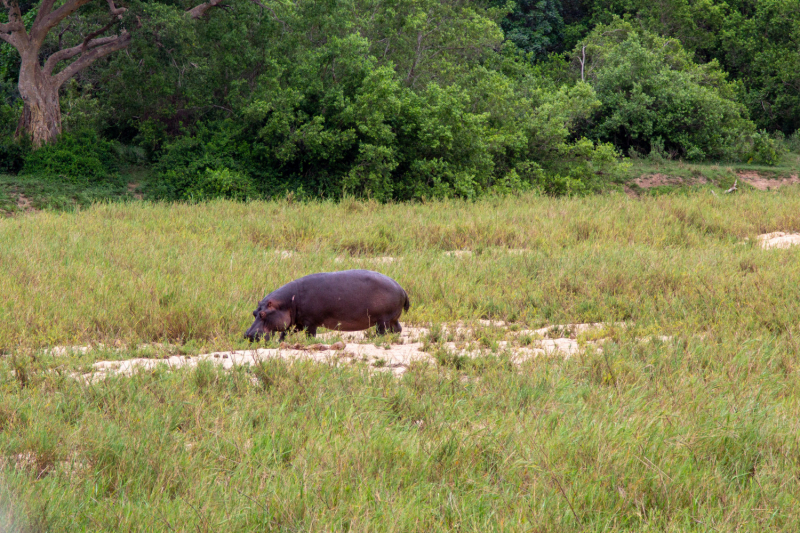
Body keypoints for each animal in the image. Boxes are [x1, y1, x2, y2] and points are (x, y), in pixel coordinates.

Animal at [245, 270, 410, 340]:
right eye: (254, 312)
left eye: (263, 314)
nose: (247, 335)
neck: (287, 303)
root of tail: (401, 288)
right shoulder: (298, 322)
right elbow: (285, 333)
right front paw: (281, 342)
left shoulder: (310, 322)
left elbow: (310, 335)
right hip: (392, 320)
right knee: (397, 329)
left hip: (382, 320)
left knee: (382, 332)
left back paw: (373, 339)